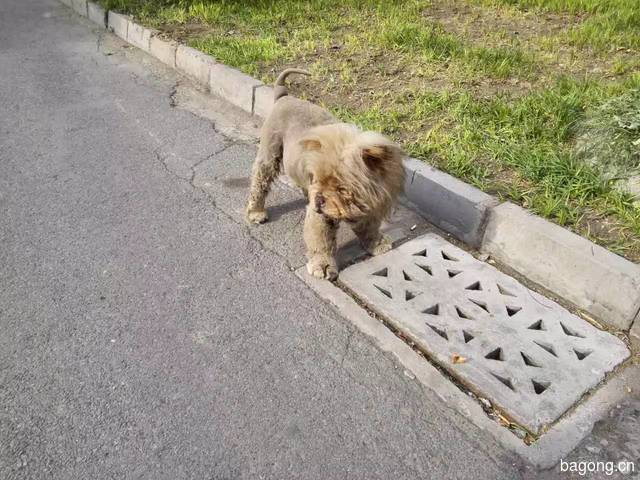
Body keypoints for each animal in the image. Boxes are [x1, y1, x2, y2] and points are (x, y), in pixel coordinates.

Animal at [246, 66, 404, 278]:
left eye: (342, 188)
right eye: (319, 179)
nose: (319, 199)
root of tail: (283, 96)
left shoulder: (372, 207)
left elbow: (369, 228)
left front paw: (376, 244)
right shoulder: (321, 216)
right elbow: (321, 241)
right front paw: (323, 266)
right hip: (269, 155)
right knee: (259, 183)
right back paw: (256, 212)